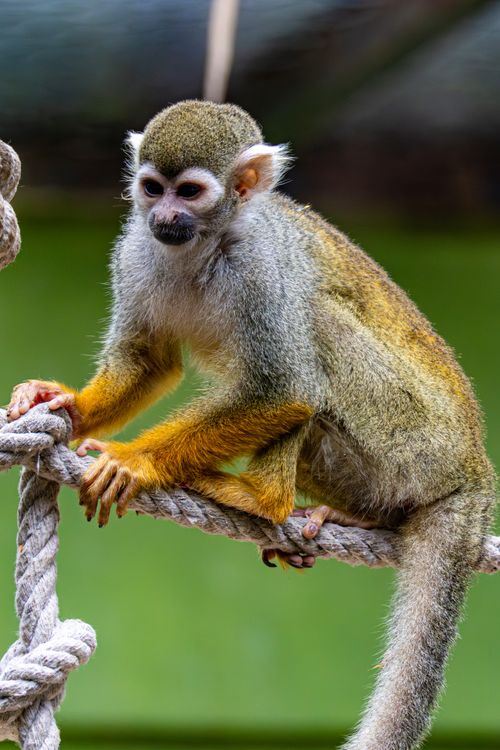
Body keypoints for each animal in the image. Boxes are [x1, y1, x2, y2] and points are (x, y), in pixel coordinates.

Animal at [7, 100, 495, 749]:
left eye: (190, 192)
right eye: (152, 187)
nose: (164, 215)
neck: (205, 243)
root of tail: (474, 469)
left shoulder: (259, 270)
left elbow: (286, 388)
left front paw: (135, 461)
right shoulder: (135, 250)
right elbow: (148, 362)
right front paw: (65, 404)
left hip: (412, 435)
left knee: (313, 327)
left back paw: (263, 498)